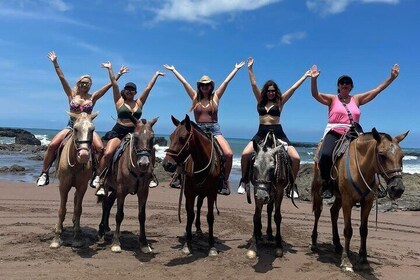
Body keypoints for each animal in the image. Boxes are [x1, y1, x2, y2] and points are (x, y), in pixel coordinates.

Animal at [50, 112, 98, 248]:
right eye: (76, 129)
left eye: (92, 129)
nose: (84, 155)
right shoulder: (63, 186)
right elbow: (62, 209)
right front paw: (56, 238)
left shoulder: (82, 187)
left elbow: (78, 209)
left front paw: (76, 238)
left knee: (76, 200)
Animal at [97, 116, 158, 254]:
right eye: (135, 137)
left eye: (152, 138)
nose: (144, 164)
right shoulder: (121, 191)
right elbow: (119, 215)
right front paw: (116, 243)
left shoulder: (143, 192)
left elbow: (142, 216)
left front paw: (144, 243)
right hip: (108, 187)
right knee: (104, 204)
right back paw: (101, 231)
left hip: (114, 190)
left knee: (108, 205)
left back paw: (106, 230)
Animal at [162, 115, 225, 258]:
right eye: (170, 137)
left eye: (181, 138)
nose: (167, 164)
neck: (201, 162)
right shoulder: (189, 192)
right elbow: (190, 215)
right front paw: (187, 244)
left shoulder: (212, 193)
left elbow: (210, 217)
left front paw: (212, 246)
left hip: (203, 193)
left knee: (200, 206)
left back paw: (199, 229)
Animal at [244, 132, 294, 260]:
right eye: (254, 167)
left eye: (272, 168)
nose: (262, 197)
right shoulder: (257, 190)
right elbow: (256, 216)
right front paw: (253, 245)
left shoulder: (279, 191)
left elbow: (277, 216)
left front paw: (278, 245)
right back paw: (260, 234)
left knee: (270, 210)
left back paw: (270, 234)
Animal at [310, 127, 408, 272]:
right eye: (381, 154)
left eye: (402, 156)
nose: (397, 189)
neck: (361, 167)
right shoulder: (347, 201)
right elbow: (348, 230)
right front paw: (346, 261)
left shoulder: (367, 202)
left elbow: (364, 230)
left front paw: (363, 259)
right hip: (319, 190)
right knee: (318, 212)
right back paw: (314, 243)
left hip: (339, 197)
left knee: (333, 212)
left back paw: (337, 244)